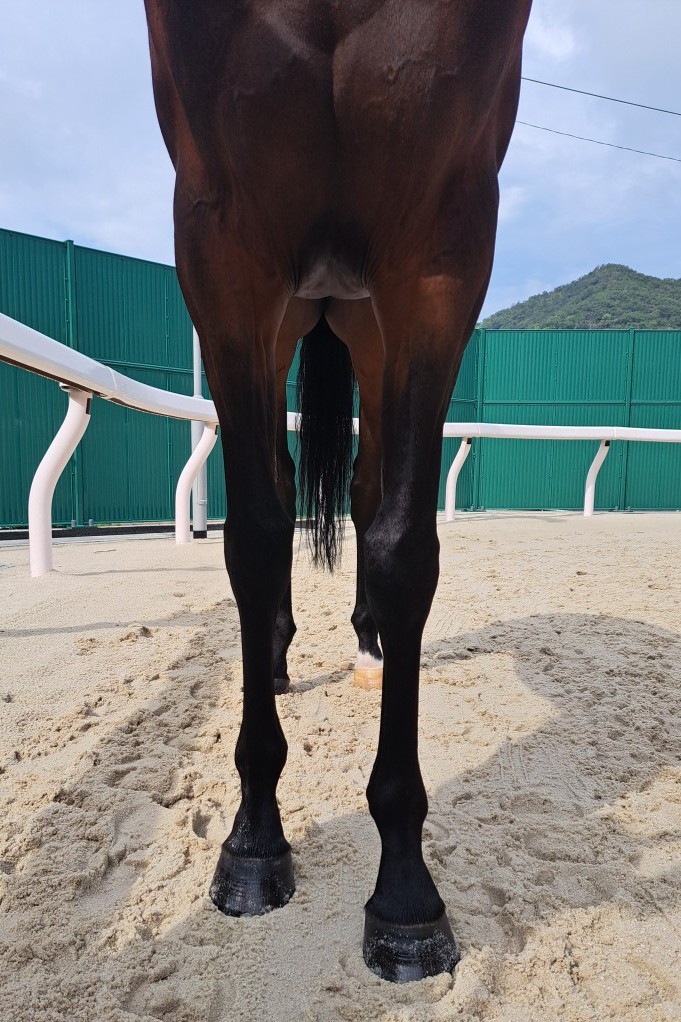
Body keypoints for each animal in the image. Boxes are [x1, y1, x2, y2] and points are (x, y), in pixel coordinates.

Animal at [144, 0, 532, 982]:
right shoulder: (219, 245)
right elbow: (252, 535)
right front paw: (252, 845)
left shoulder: (442, 246)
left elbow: (402, 548)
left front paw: (405, 896)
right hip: (295, 312)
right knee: (286, 495)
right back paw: (280, 658)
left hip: (365, 322)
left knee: (364, 491)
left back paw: (369, 643)